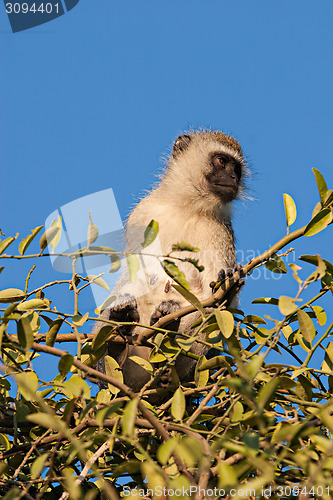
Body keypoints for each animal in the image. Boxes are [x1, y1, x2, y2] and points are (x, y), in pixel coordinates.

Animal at [93, 130, 246, 394]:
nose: (234, 178)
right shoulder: (142, 213)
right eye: (222, 162)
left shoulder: (220, 232)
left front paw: (227, 287)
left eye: (237, 168)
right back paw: (116, 347)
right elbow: (133, 276)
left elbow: (213, 299)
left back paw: (168, 344)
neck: (186, 206)